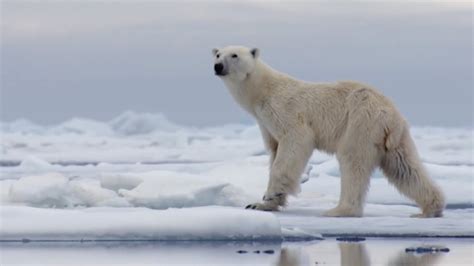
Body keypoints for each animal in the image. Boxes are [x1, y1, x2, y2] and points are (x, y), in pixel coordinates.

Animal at [213, 44, 446, 217]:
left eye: (234, 55)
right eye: (217, 53)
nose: (217, 66)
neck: (262, 91)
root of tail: (390, 112)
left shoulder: (285, 112)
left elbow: (293, 144)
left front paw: (269, 196)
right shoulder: (265, 124)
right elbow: (274, 150)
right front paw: (262, 204)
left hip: (360, 122)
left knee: (352, 160)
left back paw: (340, 209)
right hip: (394, 138)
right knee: (404, 167)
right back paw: (431, 207)